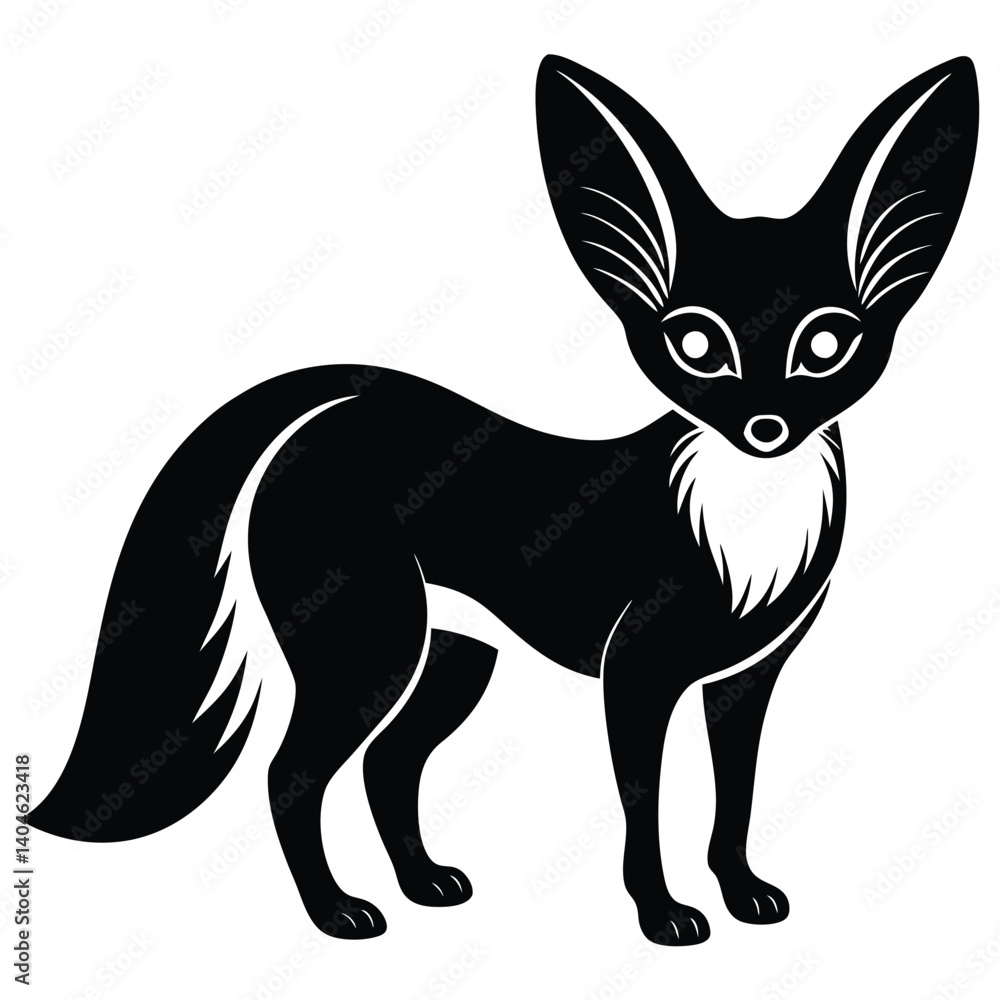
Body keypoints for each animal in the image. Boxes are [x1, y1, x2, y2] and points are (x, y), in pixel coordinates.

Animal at [28, 55, 978, 946]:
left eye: (826, 345)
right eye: (697, 346)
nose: (765, 425)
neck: (746, 519)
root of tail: (333, 406)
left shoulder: (747, 680)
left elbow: (734, 798)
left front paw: (742, 893)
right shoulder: (636, 676)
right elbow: (644, 804)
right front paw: (662, 915)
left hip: (450, 656)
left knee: (387, 766)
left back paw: (424, 885)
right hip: (370, 648)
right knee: (290, 775)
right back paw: (338, 913)